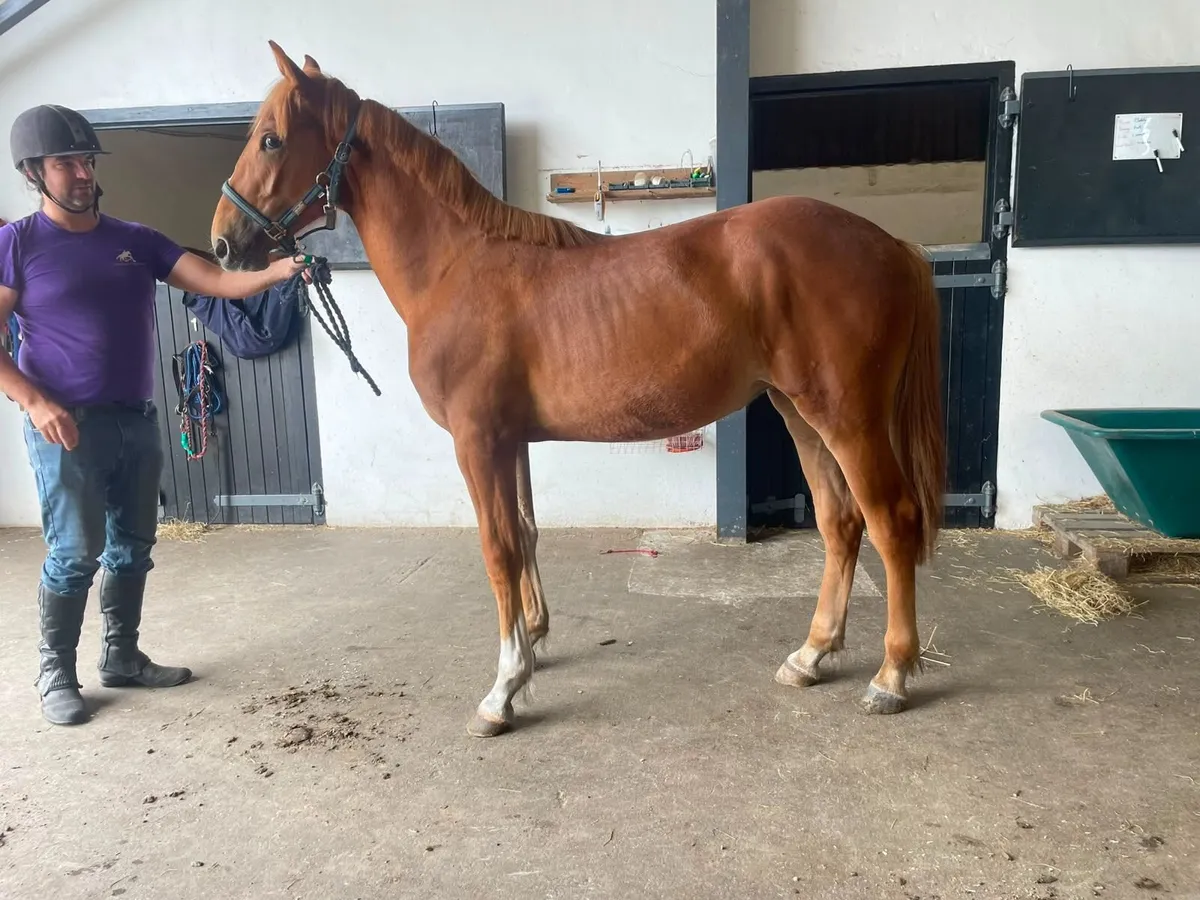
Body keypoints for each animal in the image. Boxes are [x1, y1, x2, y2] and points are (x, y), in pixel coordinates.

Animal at [209, 42, 947, 738]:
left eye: (271, 138)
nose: (221, 243)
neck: (455, 268)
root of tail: (892, 245)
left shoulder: (478, 441)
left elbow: (498, 548)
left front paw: (503, 690)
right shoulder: (510, 440)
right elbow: (527, 532)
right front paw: (534, 640)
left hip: (846, 416)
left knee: (891, 521)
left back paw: (890, 676)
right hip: (797, 409)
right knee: (840, 522)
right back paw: (811, 656)